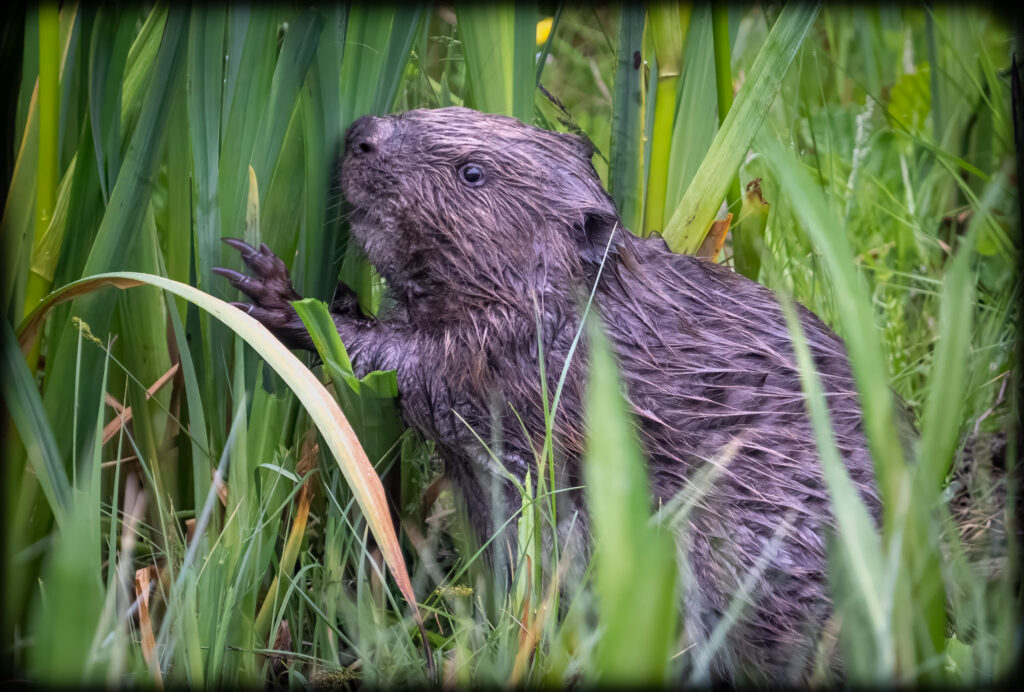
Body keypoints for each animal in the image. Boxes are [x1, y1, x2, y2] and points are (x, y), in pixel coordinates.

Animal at [214, 106, 880, 679]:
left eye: (472, 172)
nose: (362, 134)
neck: (595, 301)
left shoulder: (523, 360)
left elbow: (418, 375)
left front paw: (276, 293)